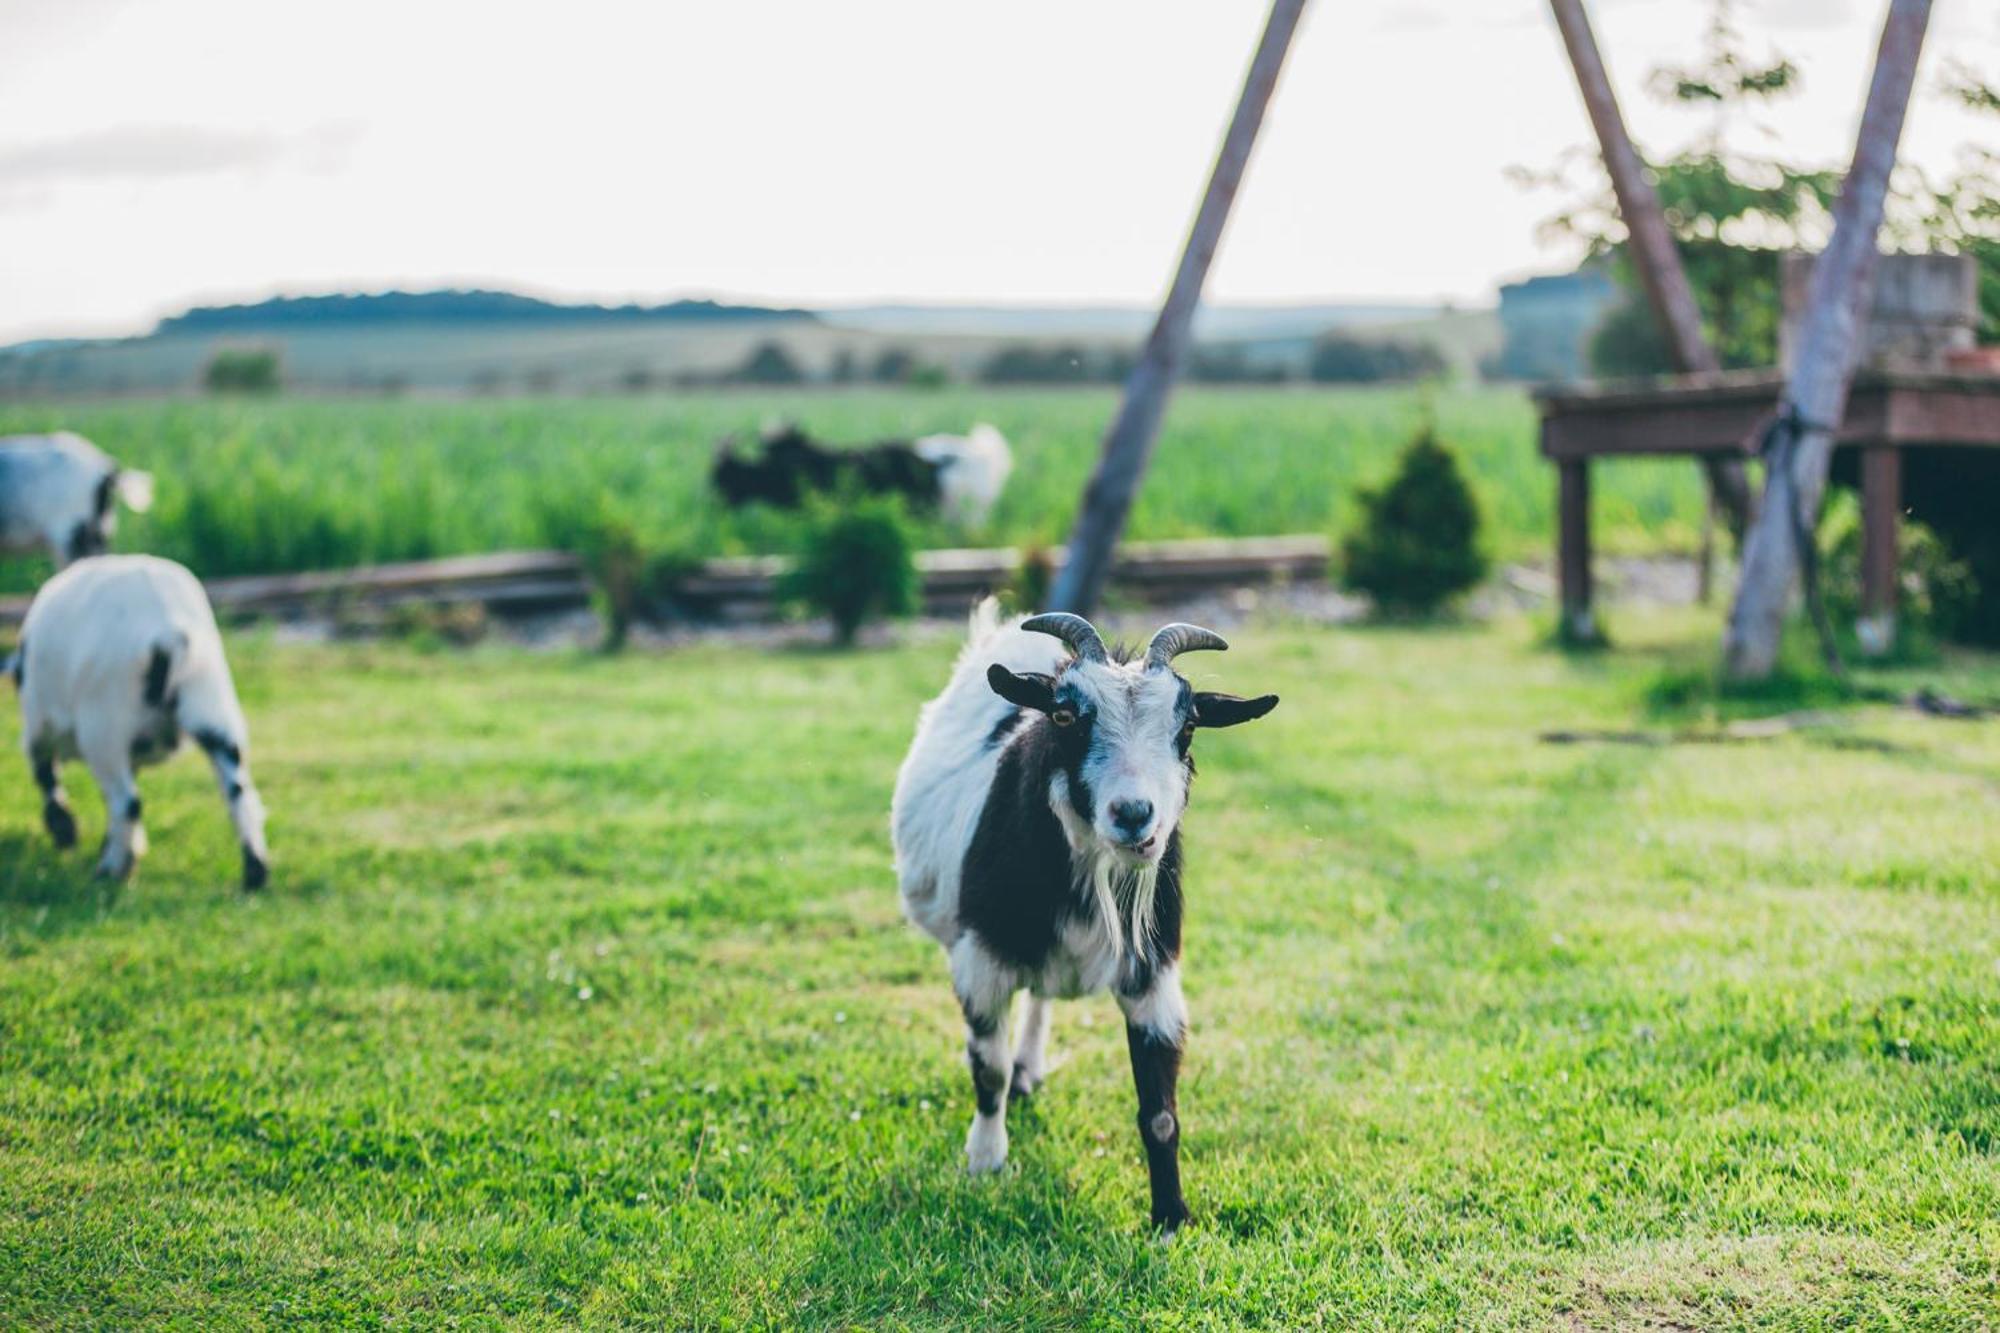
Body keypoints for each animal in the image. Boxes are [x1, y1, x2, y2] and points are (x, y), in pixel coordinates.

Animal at [13, 556, 270, 888]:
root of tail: (170, 633)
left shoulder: (39, 726)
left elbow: (46, 774)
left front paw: (66, 832)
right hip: (213, 703)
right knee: (239, 794)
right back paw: (254, 874)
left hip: (104, 724)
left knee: (128, 802)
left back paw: (110, 872)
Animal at [896, 600, 1280, 1224]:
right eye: (1064, 717)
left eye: (1187, 726)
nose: (1134, 814)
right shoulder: (979, 959)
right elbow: (988, 1069)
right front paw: (984, 1160)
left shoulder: (1154, 973)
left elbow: (1161, 1111)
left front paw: (1171, 1217)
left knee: (1042, 996)